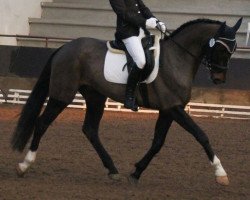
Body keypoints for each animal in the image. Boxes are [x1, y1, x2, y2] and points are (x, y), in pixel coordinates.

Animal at [11, 18, 242, 186]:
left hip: (95, 97)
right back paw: (23, 165)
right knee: (42, 123)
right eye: (221, 48)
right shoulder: (174, 108)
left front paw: (136, 172)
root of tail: (65, 47)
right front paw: (221, 173)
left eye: (233, 49)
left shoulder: (168, 110)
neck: (176, 59)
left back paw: (113, 170)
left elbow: (158, 142)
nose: (219, 79)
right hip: (62, 95)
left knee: (90, 130)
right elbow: (201, 135)